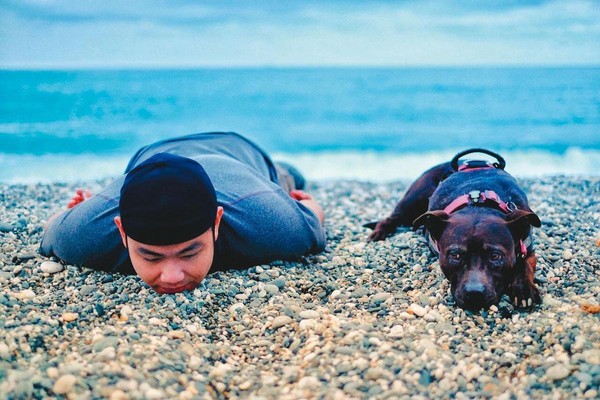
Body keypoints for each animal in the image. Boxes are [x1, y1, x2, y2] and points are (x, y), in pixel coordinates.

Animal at [366, 149, 544, 310]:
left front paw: (523, 290)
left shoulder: (526, 245)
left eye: (495, 256)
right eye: (455, 255)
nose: (475, 294)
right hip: (412, 202)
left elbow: (525, 265)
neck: (478, 203)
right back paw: (378, 233)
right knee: (390, 219)